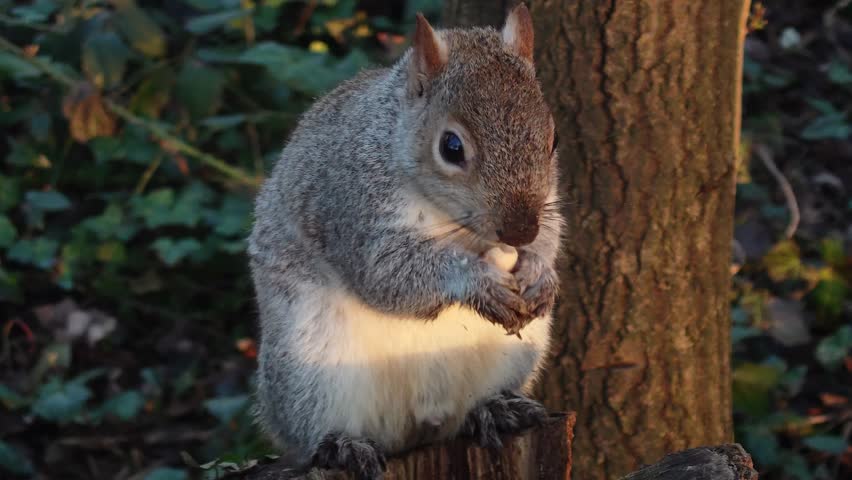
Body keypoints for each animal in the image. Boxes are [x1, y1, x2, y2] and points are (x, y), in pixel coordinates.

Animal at [248, 4, 562, 479]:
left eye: (553, 139)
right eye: (451, 147)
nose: (520, 232)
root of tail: (414, 431)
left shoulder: (551, 202)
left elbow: (553, 232)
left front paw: (541, 271)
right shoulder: (353, 203)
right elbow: (387, 274)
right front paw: (477, 282)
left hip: (516, 354)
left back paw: (496, 409)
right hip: (311, 368)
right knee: (313, 428)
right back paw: (341, 445)